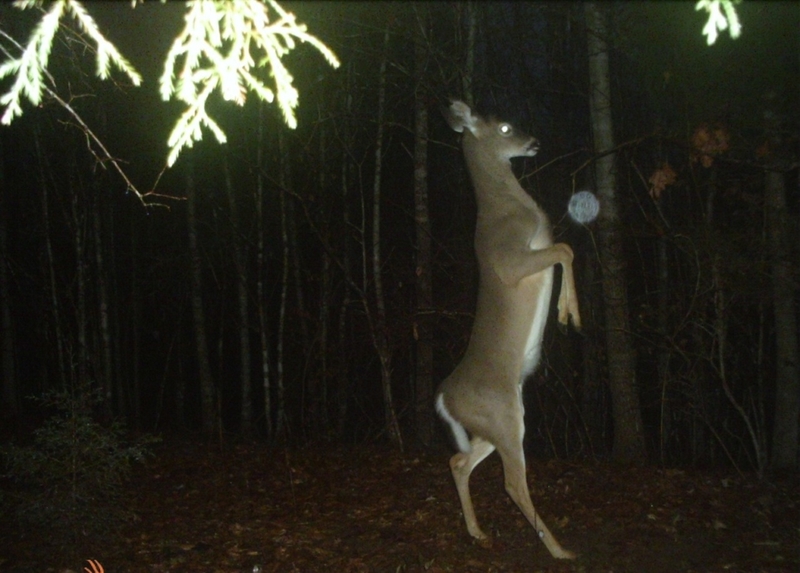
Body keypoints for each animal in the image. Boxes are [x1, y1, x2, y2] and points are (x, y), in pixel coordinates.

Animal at [438, 99, 580, 560]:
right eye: (504, 127)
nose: (534, 141)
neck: (510, 207)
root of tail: (444, 400)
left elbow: (565, 247)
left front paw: (566, 312)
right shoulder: (511, 260)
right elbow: (565, 248)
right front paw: (570, 314)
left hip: (493, 424)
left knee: (458, 461)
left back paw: (477, 532)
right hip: (503, 416)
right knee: (512, 482)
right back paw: (560, 550)